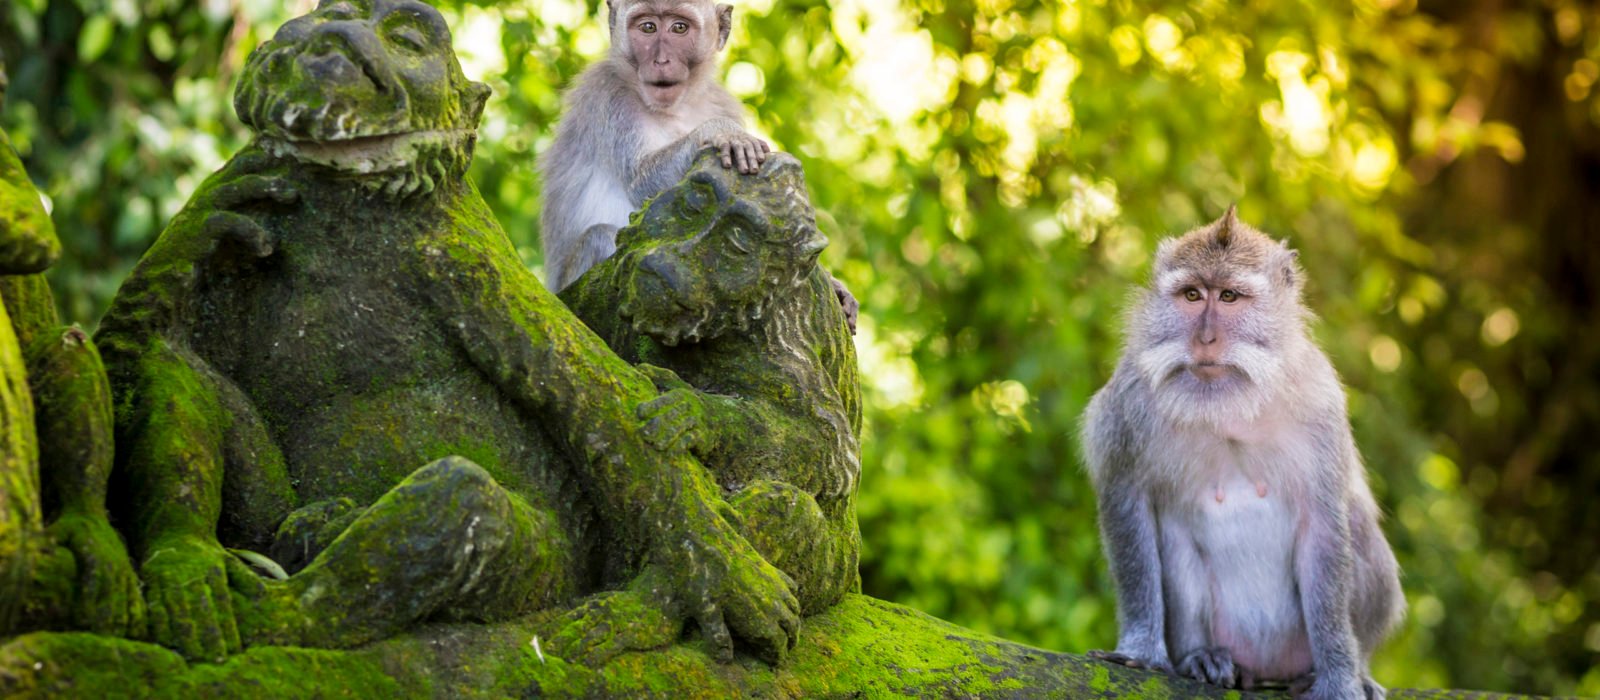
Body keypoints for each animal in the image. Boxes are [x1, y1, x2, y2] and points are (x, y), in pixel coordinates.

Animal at [1081, 206, 1408, 700]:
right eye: (1192, 295)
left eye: (1230, 296)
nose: (1205, 339)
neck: (1229, 405)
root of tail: (1265, 668)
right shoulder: (1129, 401)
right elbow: (1127, 502)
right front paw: (1141, 648)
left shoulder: (1320, 401)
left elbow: (1325, 525)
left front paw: (1340, 679)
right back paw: (1202, 657)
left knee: (1356, 524)